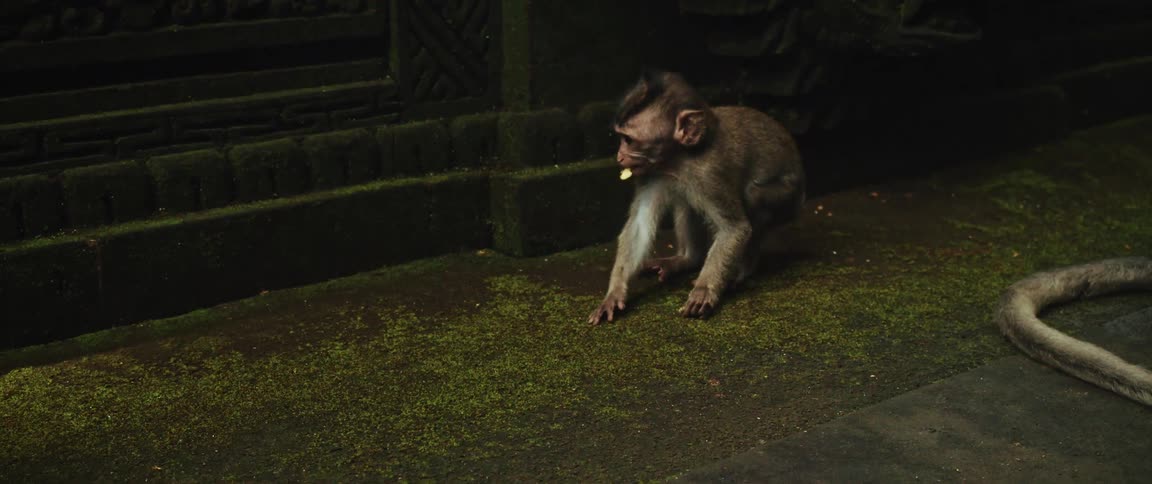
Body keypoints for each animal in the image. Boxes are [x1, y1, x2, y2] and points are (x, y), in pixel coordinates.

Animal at [587, 70, 805, 324]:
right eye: (621, 138)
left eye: (628, 140)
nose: (619, 156)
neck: (680, 159)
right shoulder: (650, 173)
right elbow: (639, 225)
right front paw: (614, 294)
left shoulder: (708, 174)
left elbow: (735, 229)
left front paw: (704, 290)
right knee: (685, 203)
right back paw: (687, 260)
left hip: (789, 198)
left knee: (753, 196)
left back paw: (743, 270)